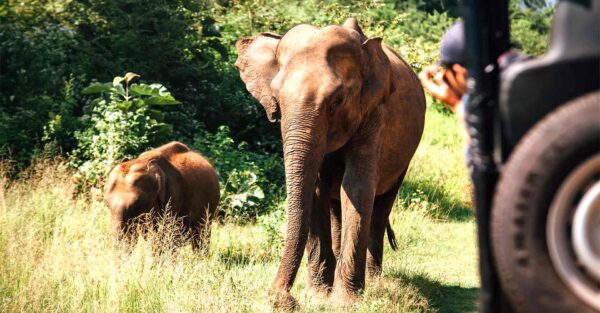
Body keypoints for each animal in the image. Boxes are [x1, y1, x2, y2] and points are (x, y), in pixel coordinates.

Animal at [236, 18, 426, 304]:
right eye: (277, 100)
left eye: (338, 100)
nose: (280, 298)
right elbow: (317, 190)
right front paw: (318, 295)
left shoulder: (374, 113)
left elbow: (357, 188)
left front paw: (346, 301)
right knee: (336, 205)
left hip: (405, 158)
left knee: (381, 205)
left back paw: (375, 280)